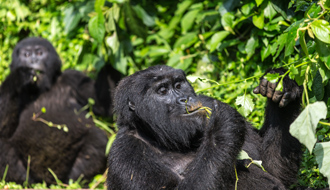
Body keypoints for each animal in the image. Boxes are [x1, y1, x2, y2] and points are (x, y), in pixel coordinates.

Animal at [0, 36, 121, 184]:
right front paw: (18, 77)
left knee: (97, 139)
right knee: (3, 147)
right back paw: (25, 181)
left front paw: (108, 57)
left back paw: (75, 180)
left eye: (39, 53)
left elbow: (107, 105)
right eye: (26, 55)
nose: (33, 61)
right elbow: (3, 127)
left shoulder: (73, 78)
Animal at [107, 65, 302, 190]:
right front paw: (222, 127)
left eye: (178, 85)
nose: (184, 99)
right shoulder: (126, 154)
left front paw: (281, 85)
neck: (157, 137)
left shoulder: (205, 100)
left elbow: (272, 168)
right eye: (162, 91)